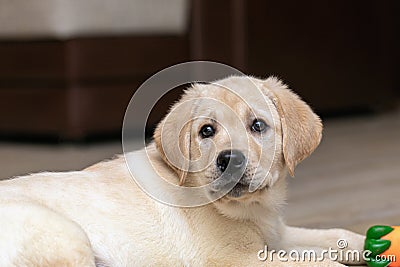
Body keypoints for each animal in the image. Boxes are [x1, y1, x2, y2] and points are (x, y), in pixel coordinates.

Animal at [0, 76, 362, 266]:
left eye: (258, 125)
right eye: (206, 131)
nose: (230, 160)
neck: (249, 210)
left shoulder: (276, 235)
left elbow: (335, 235)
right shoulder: (235, 258)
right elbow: (319, 262)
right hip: (67, 235)